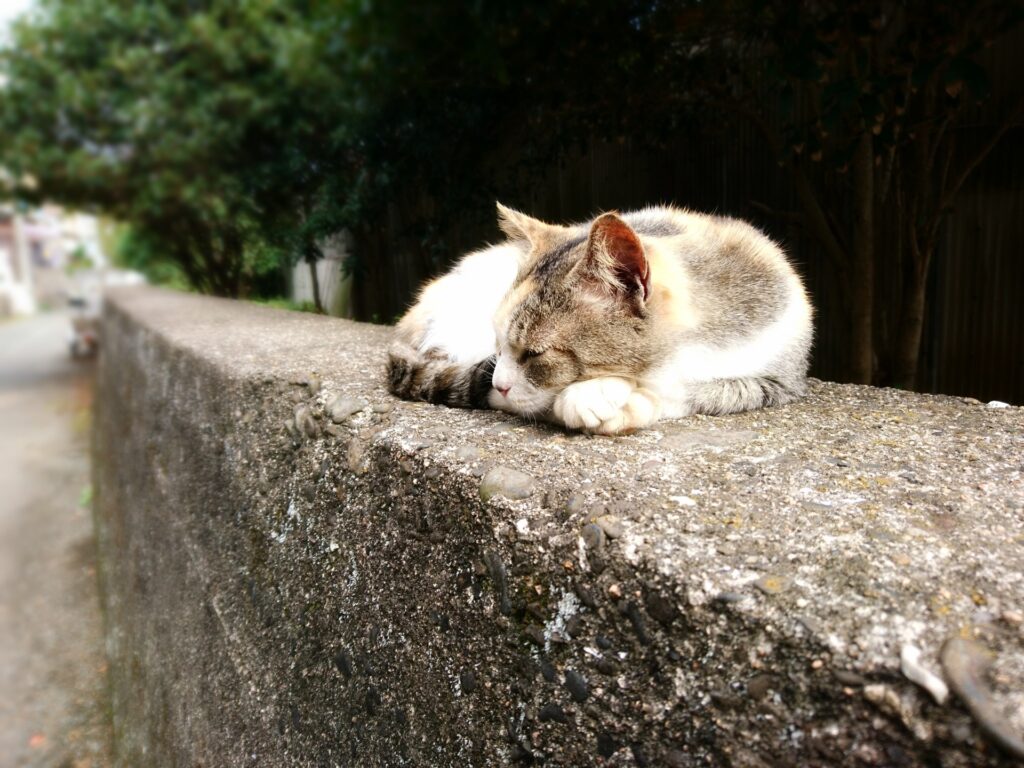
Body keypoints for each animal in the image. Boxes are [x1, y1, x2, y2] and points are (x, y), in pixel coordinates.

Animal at [387, 202, 811, 434]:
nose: (500, 383)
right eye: (499, 343)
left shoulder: (779, 379)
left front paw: (602, 397)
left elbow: (691, 389)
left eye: (536, 354)